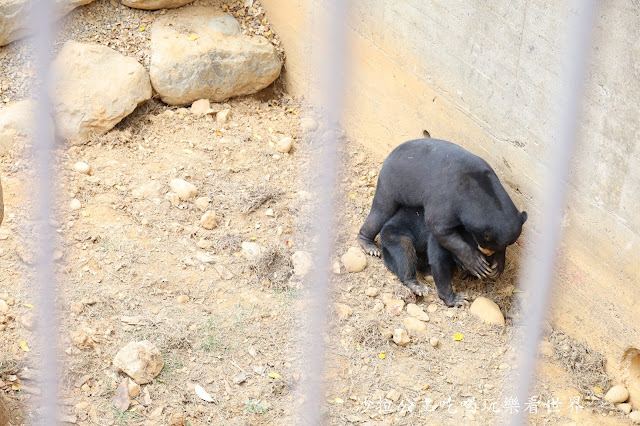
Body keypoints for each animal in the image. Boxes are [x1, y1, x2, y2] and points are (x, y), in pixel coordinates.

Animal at [358, 138, 528, 308]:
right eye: (484, 246)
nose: (487, 255)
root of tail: (394, 151)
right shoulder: (445, 201)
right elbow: (439, 231)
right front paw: (474, 266)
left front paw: (497, 266)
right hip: (391, 183)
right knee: (383, 214)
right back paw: (371, 247)